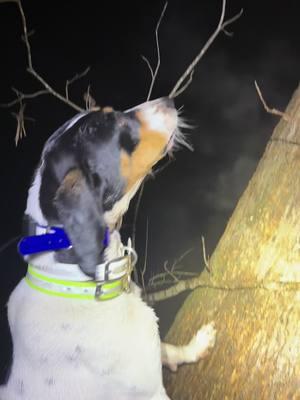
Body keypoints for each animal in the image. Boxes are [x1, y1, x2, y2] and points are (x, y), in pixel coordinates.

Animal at [0, 97, 216, 400]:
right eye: (115, 124)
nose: (168, 100)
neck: (79, 280)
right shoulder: (151, 391)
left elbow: (170, 350)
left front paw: (196, 347)